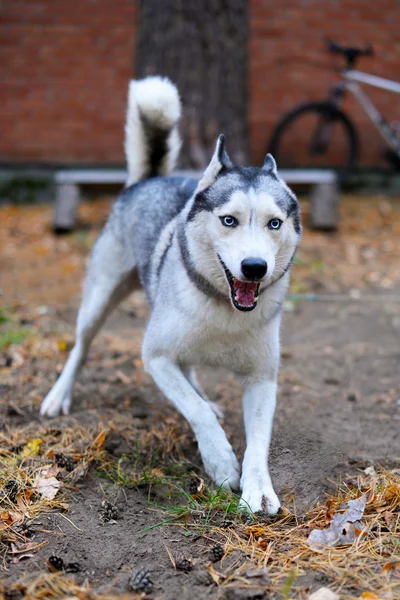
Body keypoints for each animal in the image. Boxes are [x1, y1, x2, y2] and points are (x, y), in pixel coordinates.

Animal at [40, 76, 300, 516]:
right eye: (228, 220)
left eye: (274, 223)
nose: (255, 267)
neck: (225, 308)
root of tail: (148, 179)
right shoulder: (154, 356)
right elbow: (194, 411)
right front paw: (221, 462)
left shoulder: (262, 377)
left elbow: (258, 440)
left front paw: (257, 488)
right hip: (99, 300)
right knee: (81, 346)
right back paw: (59, 395)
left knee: (189, 369)